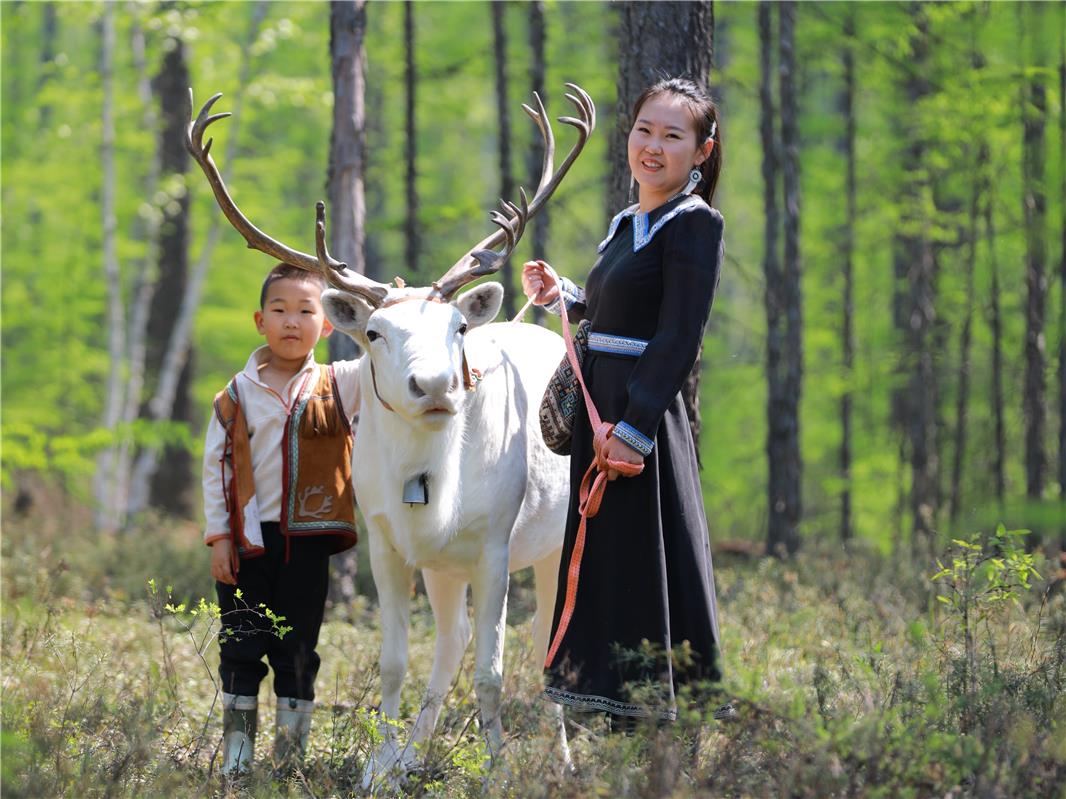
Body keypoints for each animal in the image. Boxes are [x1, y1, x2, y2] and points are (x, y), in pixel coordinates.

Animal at [186, 84, 595, 786]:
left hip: (551, 541)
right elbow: (396, 660)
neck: (433, 491)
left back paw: (560, 759)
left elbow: (492, 672)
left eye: (459, 326)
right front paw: (378, 766)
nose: (434, 384)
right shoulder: (386, 542)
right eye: (375, 332)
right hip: (445, 566)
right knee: (454, 641)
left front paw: (498, 773)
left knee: (547, 644)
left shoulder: (494, 543)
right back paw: (410, 756)